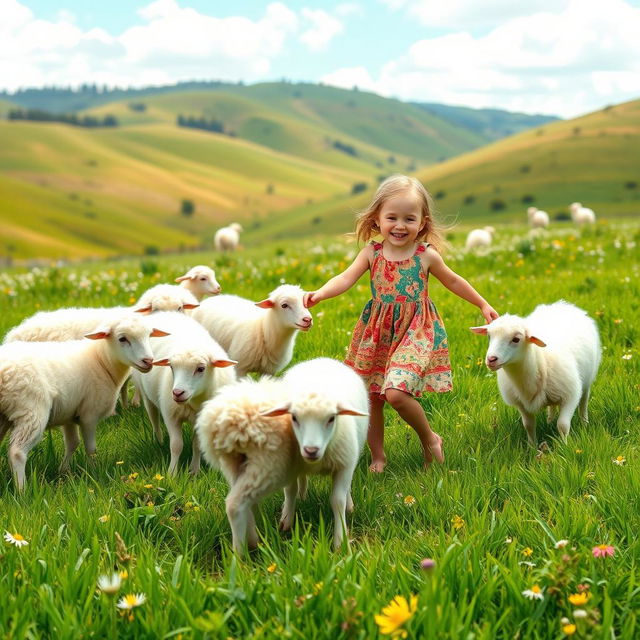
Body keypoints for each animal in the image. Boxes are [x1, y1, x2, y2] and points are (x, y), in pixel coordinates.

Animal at [0, 316, 168, 490]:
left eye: (149, 335)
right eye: (122, 339)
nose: (148, 361)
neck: (102, 361)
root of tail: (3, 371)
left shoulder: (68, 414)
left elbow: (72, 443)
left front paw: (64, 472)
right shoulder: (89, 414)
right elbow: (90, 448)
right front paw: (94, 471)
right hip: (31, 411)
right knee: (17, 452)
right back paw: (22, 490)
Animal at [130, 312, 238, 476]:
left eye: (201, 368)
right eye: (171, 367)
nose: (177, 393)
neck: (194, 402)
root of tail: (164, 313)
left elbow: (197, 445)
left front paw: (194, 470)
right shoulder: (171, 415)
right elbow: (176, 445)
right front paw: (172, 473)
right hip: (145, 392)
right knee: (153, 416)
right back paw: (158, 441)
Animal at [195, 358, 368, 552]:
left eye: (332, 418)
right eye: (294, 418)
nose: (311, 450)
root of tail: (322, 359)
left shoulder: (344, 465)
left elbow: (338, 500)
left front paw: (340, 541)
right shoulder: (289, 465)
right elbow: (290, 491)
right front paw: (287, 519)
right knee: (239, 503)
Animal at [470, 298, 600, 444]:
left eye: (516, 339)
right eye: (489, 336)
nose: (491, 359)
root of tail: (564, 305)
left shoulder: (570, 395)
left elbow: (563, 425)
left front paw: (564, 446)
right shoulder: (521, 403)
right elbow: (529, 425)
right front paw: (532, 446)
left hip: (587, 379)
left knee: (583, 401)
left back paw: (584, 423)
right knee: (552, 406)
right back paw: (550, 420)